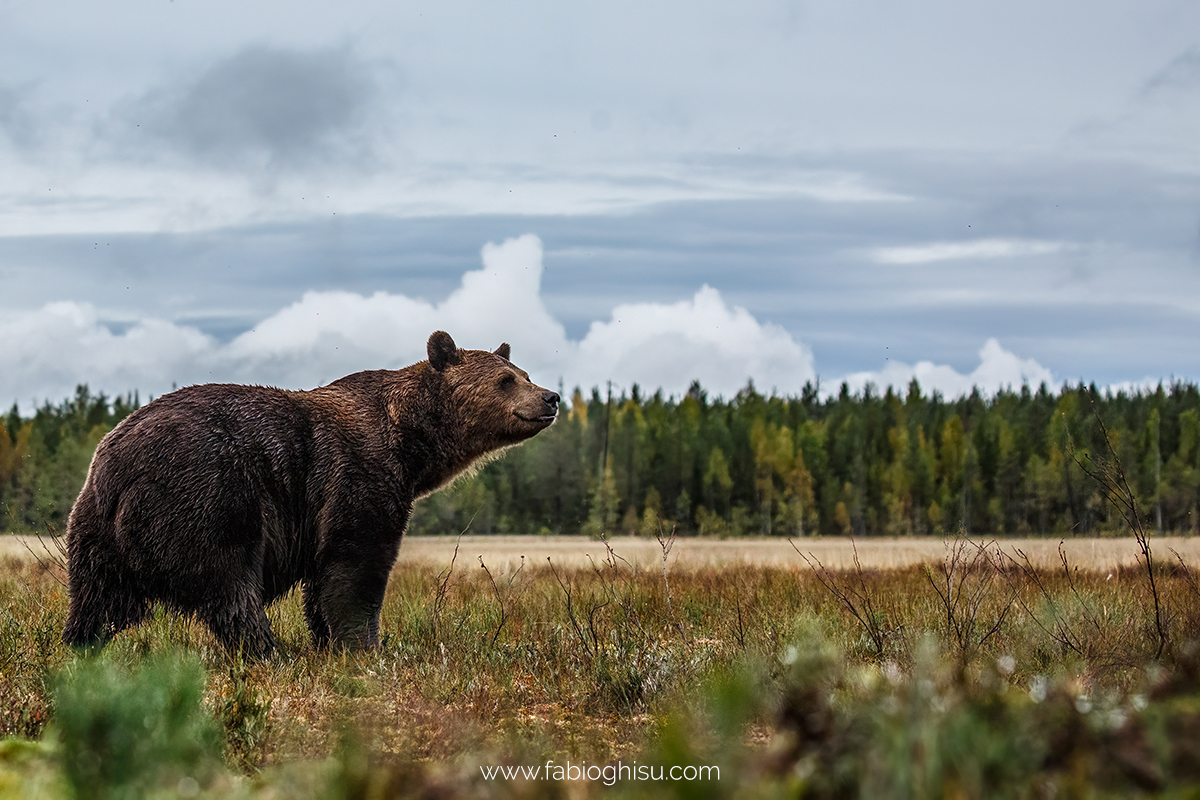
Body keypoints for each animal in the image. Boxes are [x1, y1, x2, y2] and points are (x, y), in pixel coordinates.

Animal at [60, 331, 556, 657]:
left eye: (524, 372)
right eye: (507, 380)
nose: (550, 397)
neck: (409, 442)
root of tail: (118, 466)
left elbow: (324, 584)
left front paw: (329, 644)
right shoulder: (357, 477)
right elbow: (356, 567)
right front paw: (366, 647)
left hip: (94, 526)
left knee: (98, 598)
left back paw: (82, 647)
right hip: (209, 496)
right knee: (232, 586)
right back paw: (267, 651)